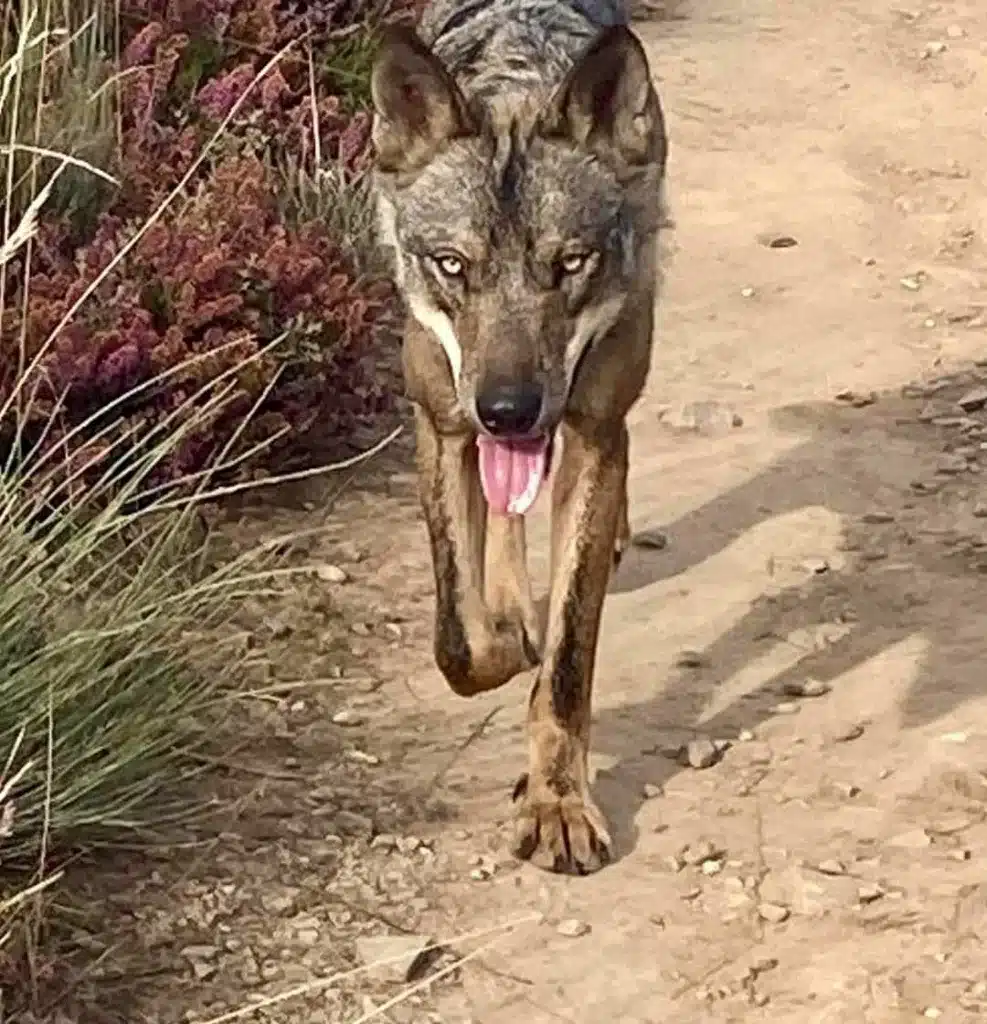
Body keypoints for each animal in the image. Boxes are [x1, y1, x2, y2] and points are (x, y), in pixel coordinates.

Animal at [372, 0, 671, 872]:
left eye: (569, 264)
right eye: (451, 264)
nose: (508, 408)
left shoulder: (596, 433)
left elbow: (568, 665)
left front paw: (556, 805)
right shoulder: (440, 421)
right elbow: (460, 643)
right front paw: (504, 636)